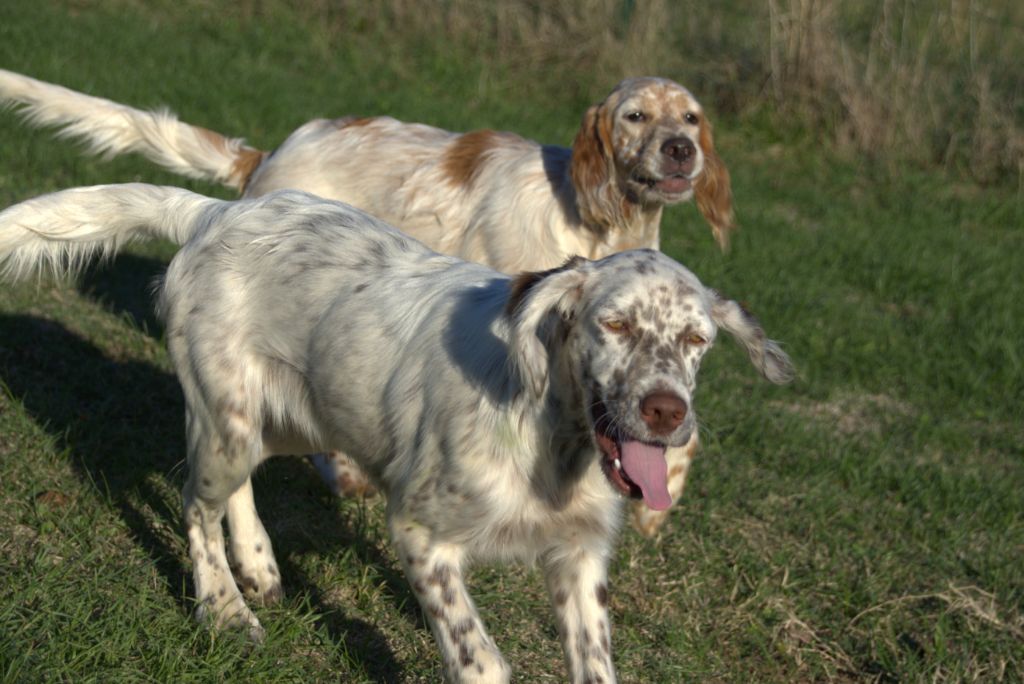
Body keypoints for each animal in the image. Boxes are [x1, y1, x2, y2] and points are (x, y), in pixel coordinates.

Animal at [0, 69, 737, 532]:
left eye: (691, 118)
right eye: (635, 116)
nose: (681, 150)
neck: (596, 217)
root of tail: (264, 161)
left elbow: (675, 425)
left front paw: (658, 495)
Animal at [0, 184, 790, 679]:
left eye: (696, 340)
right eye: (616, 324)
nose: (666, 411)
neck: (553, 436)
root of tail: (217, 212)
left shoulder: (579, 556)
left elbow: (593, 662)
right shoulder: (420, 530)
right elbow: (482, 660)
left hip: (288, 416)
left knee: (229, 488)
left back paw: (257, 563)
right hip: (230, 418)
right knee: (196, 504)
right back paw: (222, 607)